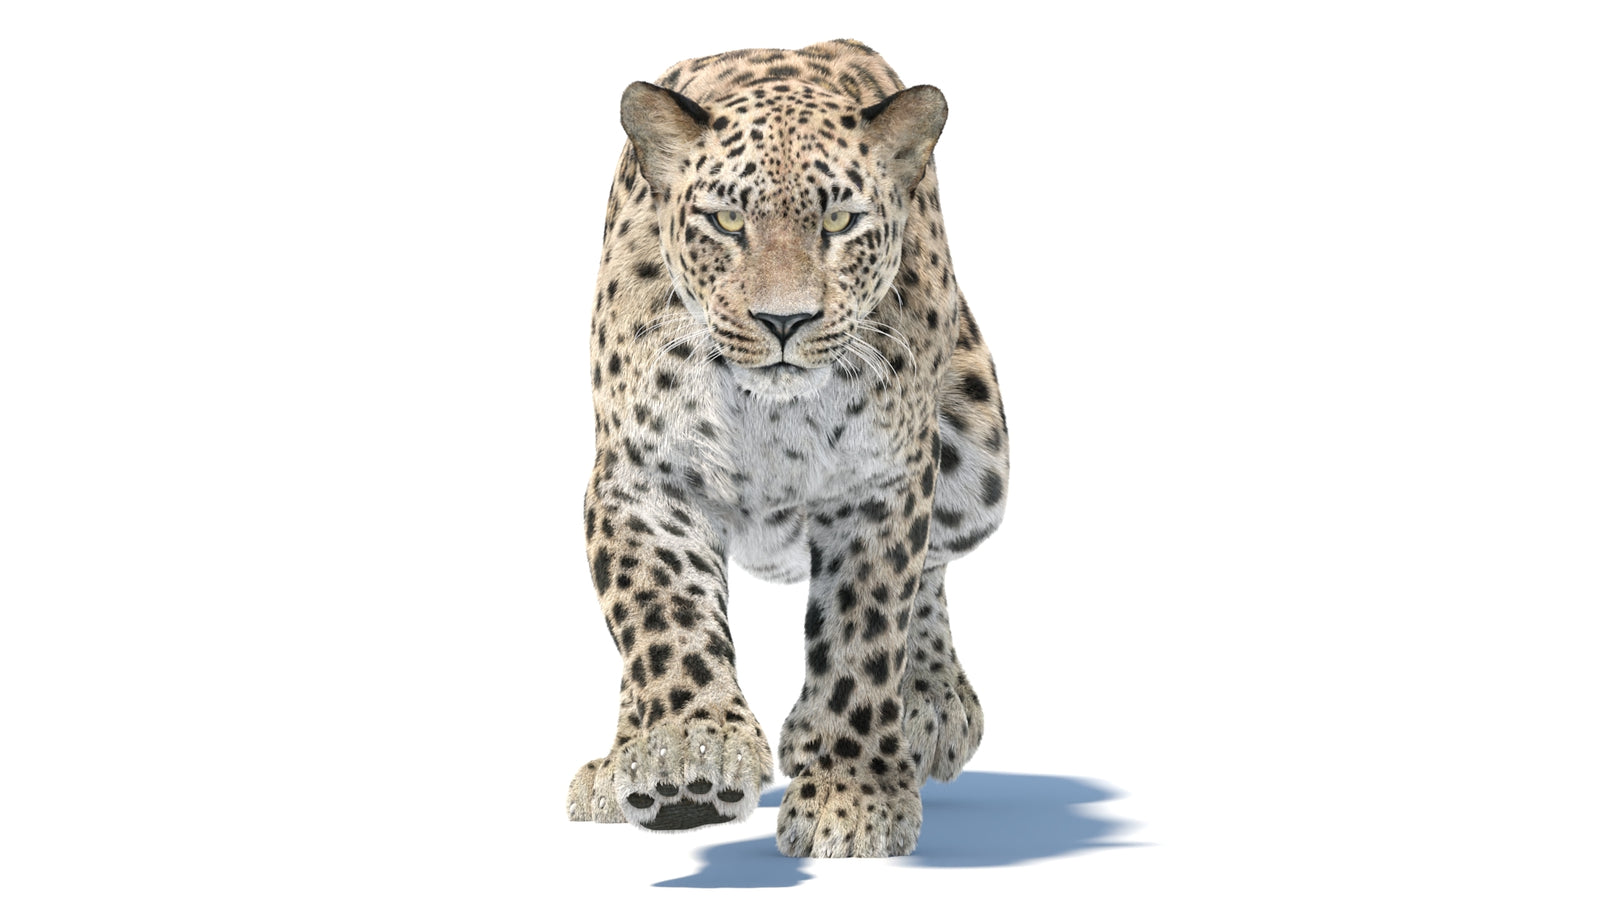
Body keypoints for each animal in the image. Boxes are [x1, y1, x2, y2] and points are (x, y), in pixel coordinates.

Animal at [564, 38, 1009, 858]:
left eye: (839, 219)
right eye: (725, 219)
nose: (783, 321)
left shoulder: (882, 485)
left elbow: (865, 633)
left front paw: (852, 794)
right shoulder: (643, 478)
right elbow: (661, 613)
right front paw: (685, 755)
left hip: (982, 457)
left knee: (934, 565)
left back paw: (929, 703)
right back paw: (617, 765)